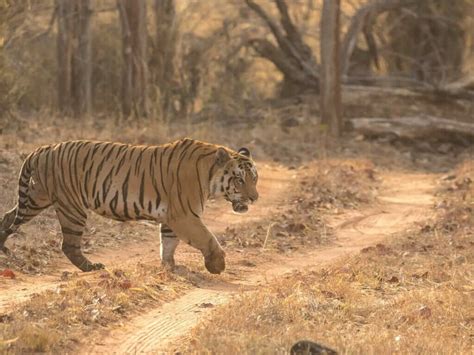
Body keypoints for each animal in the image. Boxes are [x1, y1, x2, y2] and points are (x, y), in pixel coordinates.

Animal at [0, 139, 260, 276]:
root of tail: (43, 149)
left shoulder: (172, 217)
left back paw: (2, 248)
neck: (208, 175)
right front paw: (217, 265)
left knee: (7, 217)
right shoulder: (185, 215)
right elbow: (207, 238)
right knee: (68, 245)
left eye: (254, 178)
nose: (255, 198)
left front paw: (169, 267)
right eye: (239, 180)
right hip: (71, 208)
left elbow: (168, 243)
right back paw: (91, 267)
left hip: (36, 198)